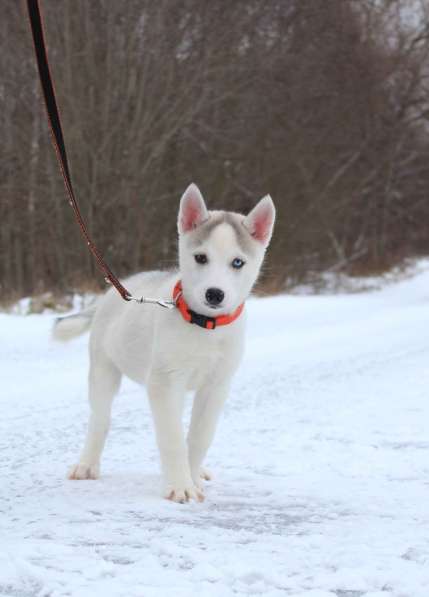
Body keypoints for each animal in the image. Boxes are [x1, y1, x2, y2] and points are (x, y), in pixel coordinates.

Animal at [54, 184, 274, 500]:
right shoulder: (165, 382)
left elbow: (199, 437)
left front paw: (191, 479)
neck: (204, 325)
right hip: (104, 371)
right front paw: (180, 486)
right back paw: (87, 465)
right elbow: (173, 439)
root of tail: (109, 296)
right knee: (100, 420)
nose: (214, 294)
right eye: (201, 258)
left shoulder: (216, 387)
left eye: (237, 262)